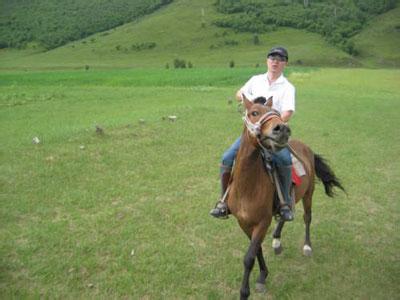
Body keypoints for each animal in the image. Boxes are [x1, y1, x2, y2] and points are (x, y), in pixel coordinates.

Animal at [225, 97, 344, 298]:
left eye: (278, 114)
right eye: (254, 113)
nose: (282, 129)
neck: (247, 187)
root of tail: (307, 148)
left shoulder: (262, 222)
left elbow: (249, 257)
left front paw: (246, 291)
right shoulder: (244, 223)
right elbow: (257, 250)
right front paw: (263, 275)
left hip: (308, 194)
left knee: (307, 217)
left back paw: (307, 246)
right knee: (286, 214)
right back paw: (277, 240)